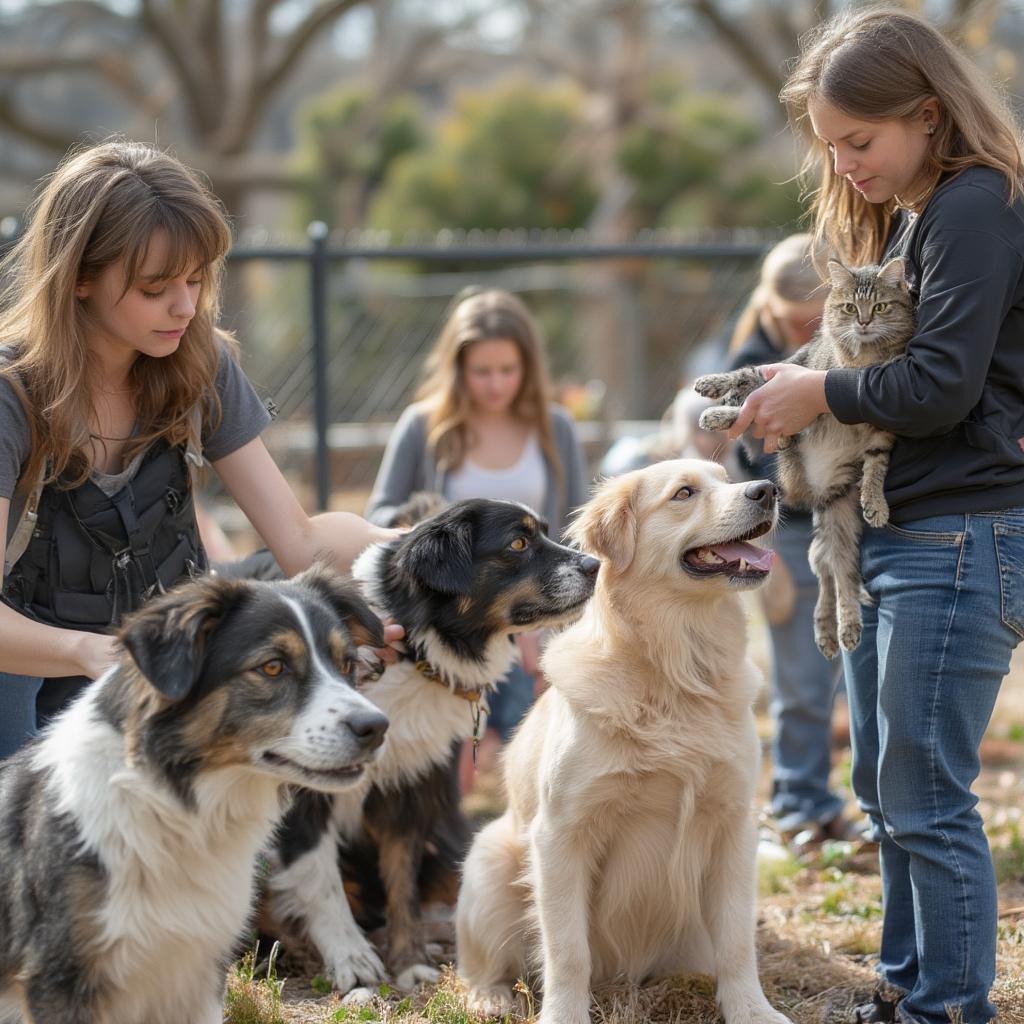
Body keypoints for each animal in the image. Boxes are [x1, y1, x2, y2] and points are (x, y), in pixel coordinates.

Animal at [0, 569, 389, 1024]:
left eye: (347, 665)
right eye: (272, 667)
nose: (376, 727)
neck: (170, 808)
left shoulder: (197, 971)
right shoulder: (59, 980)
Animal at [264, 499, 598, 995]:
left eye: (542, 532)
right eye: (518, 543)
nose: (596, 565)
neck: (415, 650)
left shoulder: (409, 787)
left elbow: (402, 884)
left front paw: (409, 962)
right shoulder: (301, 783)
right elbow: (318, 877)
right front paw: (350, 958)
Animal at [456, 462, 790, 1024]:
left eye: (726, 477)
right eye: (684, 493)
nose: (767, 490)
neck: (676, 671)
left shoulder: (733, 825)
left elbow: (736, 939)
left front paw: (751, 1009)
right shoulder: (561, 834)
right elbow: (567, 950)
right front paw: (564, 1016)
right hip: (489, 860)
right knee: (483, 961)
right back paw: (489, 996)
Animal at [692, 254, 917, 655]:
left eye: (880, 306)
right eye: (849, 307)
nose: (863, 322)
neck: (862, 359)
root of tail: (816, 493)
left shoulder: (882, 427)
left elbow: (876, 466)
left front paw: (876, 500)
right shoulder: (800, 379)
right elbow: (752, 389)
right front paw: (720, 401)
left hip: (842, 519)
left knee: (837, 572)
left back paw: (842, 626)